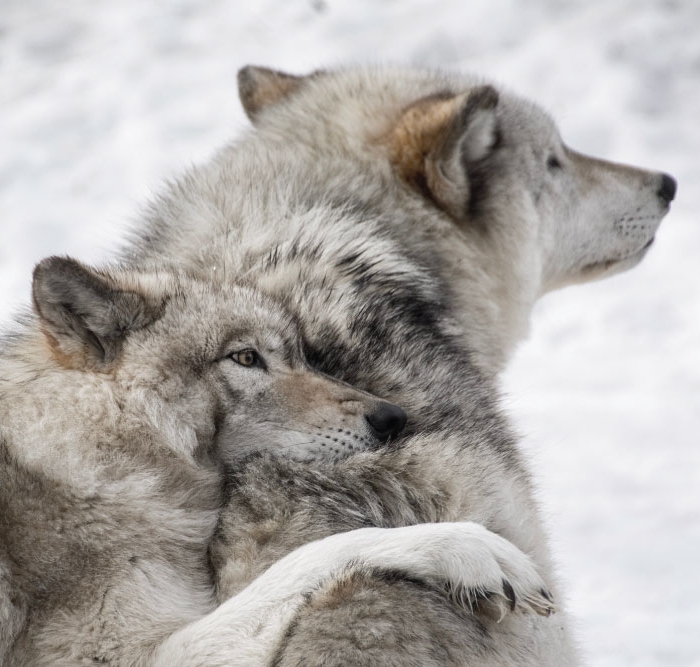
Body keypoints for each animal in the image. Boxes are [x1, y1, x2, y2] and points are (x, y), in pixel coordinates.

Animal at [0, 258, 556, 667]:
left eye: (303, 356)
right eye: (246, 358)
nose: (392, 417)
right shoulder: (123, 656)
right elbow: (320, 553)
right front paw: (468, 548)